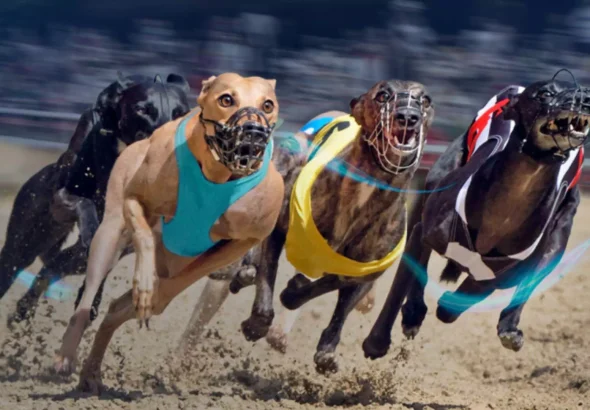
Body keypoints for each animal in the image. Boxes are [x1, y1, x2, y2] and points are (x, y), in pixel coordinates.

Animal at [0, 73, 191, 326]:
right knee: (19, 264)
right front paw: (92, 226)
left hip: (71, 256)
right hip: (25, 243)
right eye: (141, 109)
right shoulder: (62, 198)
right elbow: (85, 202)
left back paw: (27, 308)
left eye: (181, 113)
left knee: (51, 267)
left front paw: (92, 300)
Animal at [53, 73, 285, 394]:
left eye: (268, 104)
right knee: (90, 295)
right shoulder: (133, 200)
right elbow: (143, 236)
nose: (253, 132)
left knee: (119, 307)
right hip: (108, 235)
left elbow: (185, 280)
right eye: (226, 99)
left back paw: (92, 371)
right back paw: (68, 354)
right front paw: (144, 282)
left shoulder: (241, 241)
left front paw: (151, 293)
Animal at [203, 80, 434, 374]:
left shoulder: (366, 272)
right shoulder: (281, 229)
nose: (408, 117)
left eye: (425, 100)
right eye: (382, 95)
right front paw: (257, 323)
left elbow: (334, 296)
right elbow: (267, 280)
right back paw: (244, 270)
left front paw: (325, 349)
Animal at [363, 70, 587, 360]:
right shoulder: (424, 231)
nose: (585, 98)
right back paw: (413, 313)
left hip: (557, 239)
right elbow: (403, 283)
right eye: (545, 93)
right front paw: (377, 341)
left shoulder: (505, 270)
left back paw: (508, 327)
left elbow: (462, 298)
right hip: (431, 187)